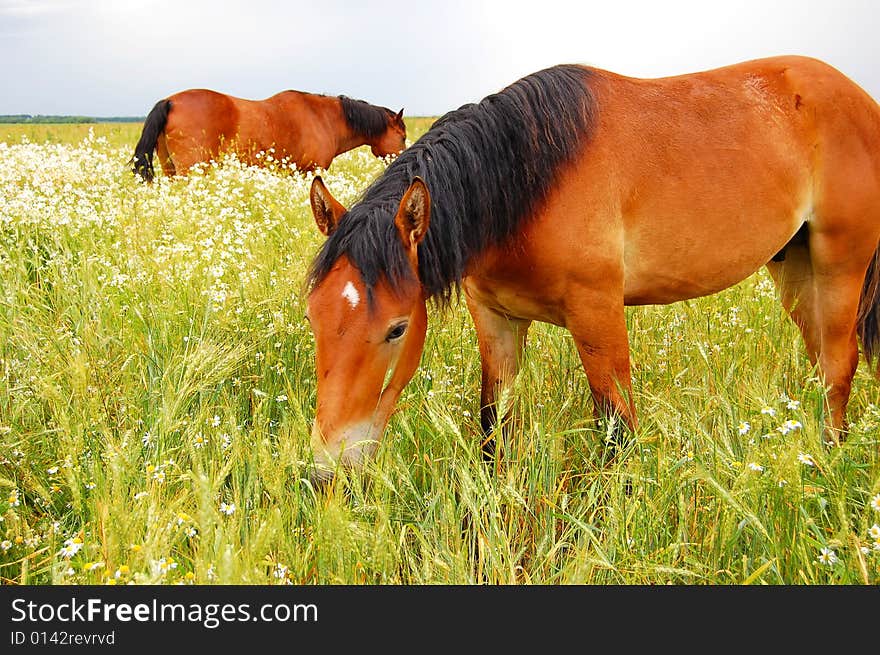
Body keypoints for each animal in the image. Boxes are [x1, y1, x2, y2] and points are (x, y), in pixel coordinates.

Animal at [130, 88, 406, 182]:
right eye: (402, 137)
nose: (403, 159)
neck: (323, 117)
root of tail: (170, 102)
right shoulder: (309, 171)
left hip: (170, 168)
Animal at [302, 56, 880, 482]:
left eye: (397, 329)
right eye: (313, 319)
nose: (326, 471)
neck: (532, 176)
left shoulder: (597, 312)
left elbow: (617, 430)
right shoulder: (495, 319)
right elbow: (494, 425)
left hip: (840, 265)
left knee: (838, 366)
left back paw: (827, 464)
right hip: (795, 269)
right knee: (821, 363)